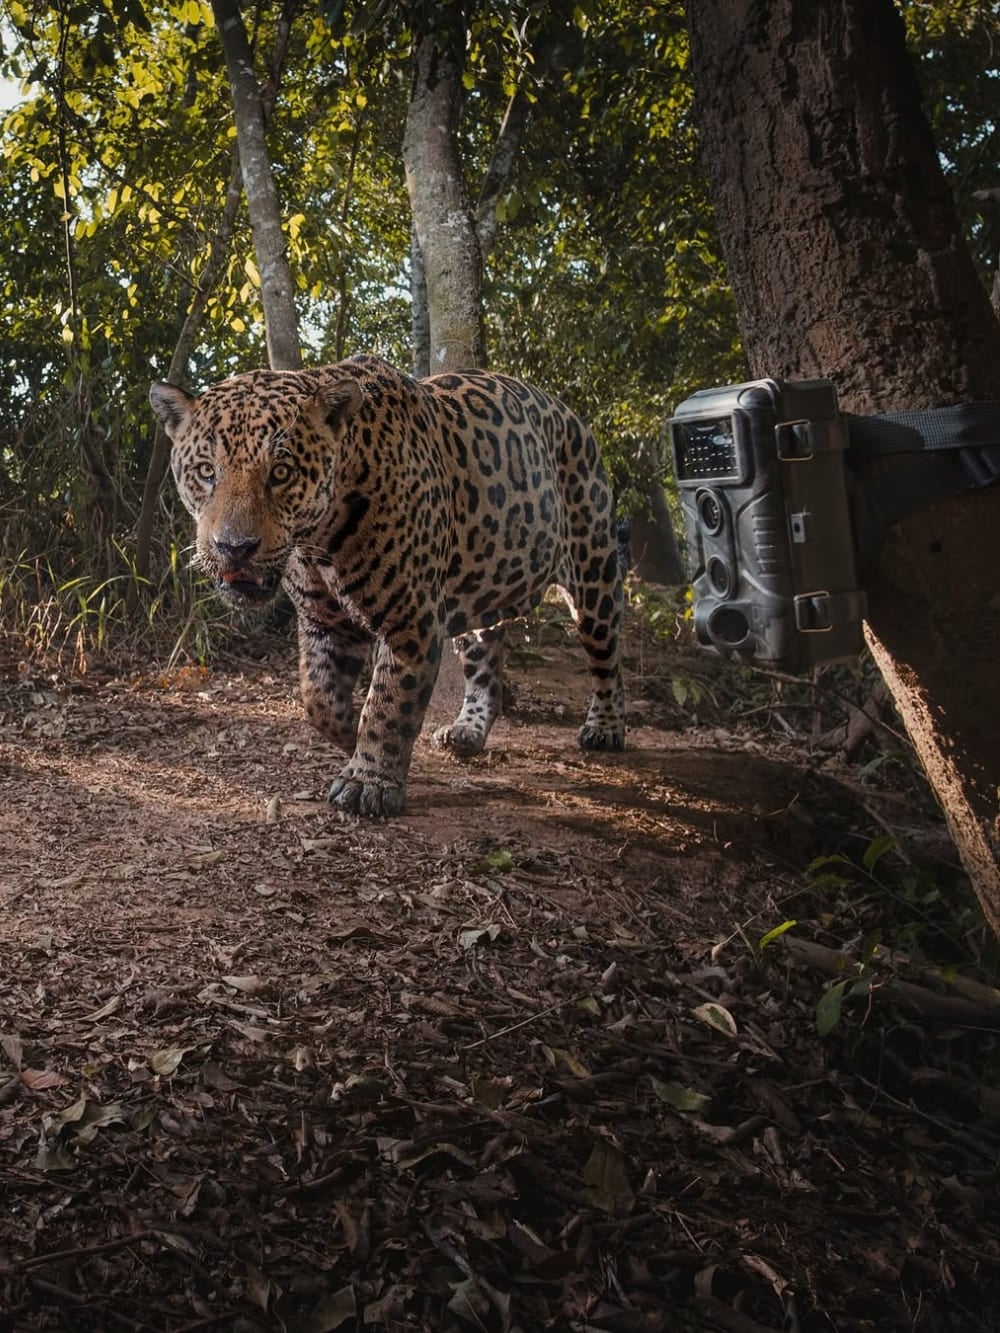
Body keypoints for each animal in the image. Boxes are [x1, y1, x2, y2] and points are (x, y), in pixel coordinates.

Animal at [150, 354, 625, 818]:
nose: (234, 548)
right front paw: (348, 736)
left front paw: (369, 782)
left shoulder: (410, 620)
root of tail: (573, 416)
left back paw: (605, 728)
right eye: (206, 472)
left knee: (607, 660)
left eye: (281, 472)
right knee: (486, 659)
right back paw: (468, 731)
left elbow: (390, 702)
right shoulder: (324, 621)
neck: (320, 540)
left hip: (594, 574)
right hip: (482, 592)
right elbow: (317, 697)